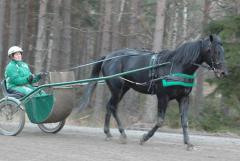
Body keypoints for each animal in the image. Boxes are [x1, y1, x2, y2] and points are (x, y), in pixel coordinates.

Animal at [79, 34, 228, 149]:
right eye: (214, 51)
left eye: (223, 51)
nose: (224, 72)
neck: (177, 66)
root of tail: (108, 57)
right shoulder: (163, 97)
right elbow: (160, 121)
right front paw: (144, 137)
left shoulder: (184, 98)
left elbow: (185, 121)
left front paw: (188, 143)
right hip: (117, 89)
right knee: (112, 107)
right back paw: (121, 134)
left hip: (124, 88)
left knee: (110, 106)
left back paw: (109, 133)